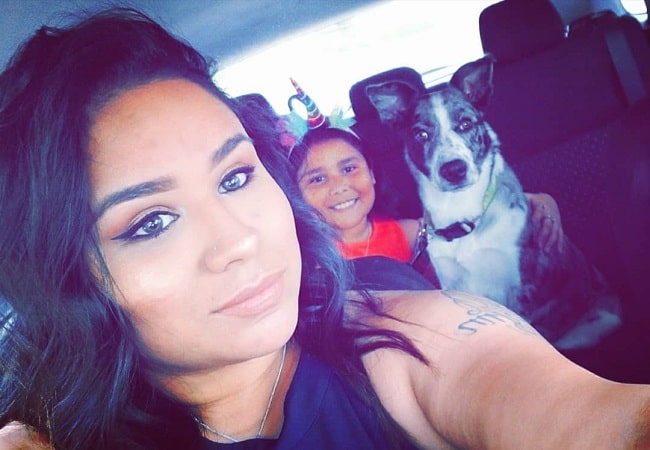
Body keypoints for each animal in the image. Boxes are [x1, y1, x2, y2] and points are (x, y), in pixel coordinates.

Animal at [368, 56, 620, 350]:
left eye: (465, 124)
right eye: (421, 135)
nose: (454, 170)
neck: (463, 216)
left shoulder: (518, 291)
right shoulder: (455, 285)